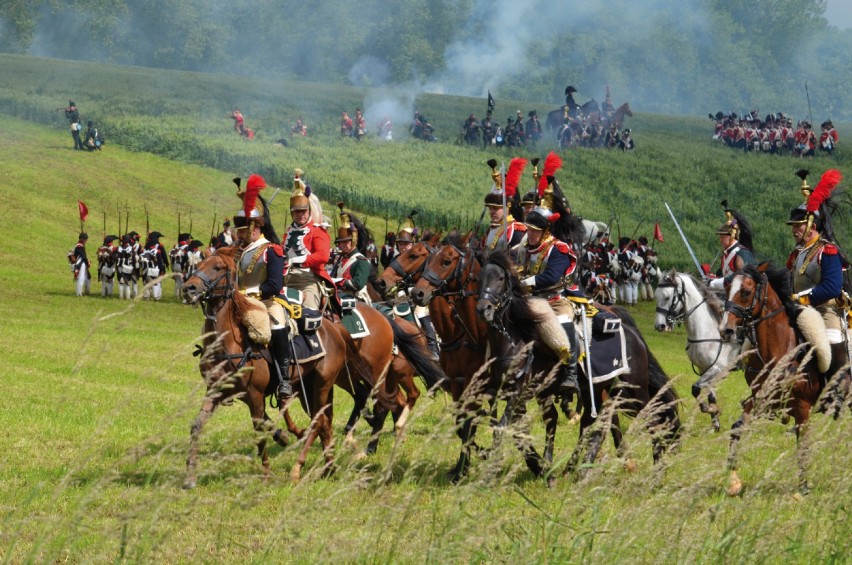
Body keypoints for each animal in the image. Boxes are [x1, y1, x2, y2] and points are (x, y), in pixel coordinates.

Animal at [476, 252, 684, 480]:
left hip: (634, 390)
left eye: (501, 278)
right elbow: (515, 429)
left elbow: (504, 427)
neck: (516, 339)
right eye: (480, 278)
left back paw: (656, 469)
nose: (483, 309)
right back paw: (577, 468)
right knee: (593, 423)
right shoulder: (504, 394)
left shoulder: (519, 393)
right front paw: (541, 466)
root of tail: (631, 333)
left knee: (651, 419)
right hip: (596, 388)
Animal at [656, 270, 744, 430]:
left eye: (667, 297)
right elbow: (709, 393)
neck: (709, 331)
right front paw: (715, 422)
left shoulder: (718, 369)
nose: (659, 326)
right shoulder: (704, 369)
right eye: (656, 296)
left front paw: (712, 409)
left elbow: (696, 388)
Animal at [720, 264, 832, 494]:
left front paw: (803, 488)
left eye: (746, 292)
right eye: (726, 288)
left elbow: (803, 444)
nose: (725, 330)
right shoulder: (760, 401)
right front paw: (733, 479)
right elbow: (737, 428)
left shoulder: (803, 408)